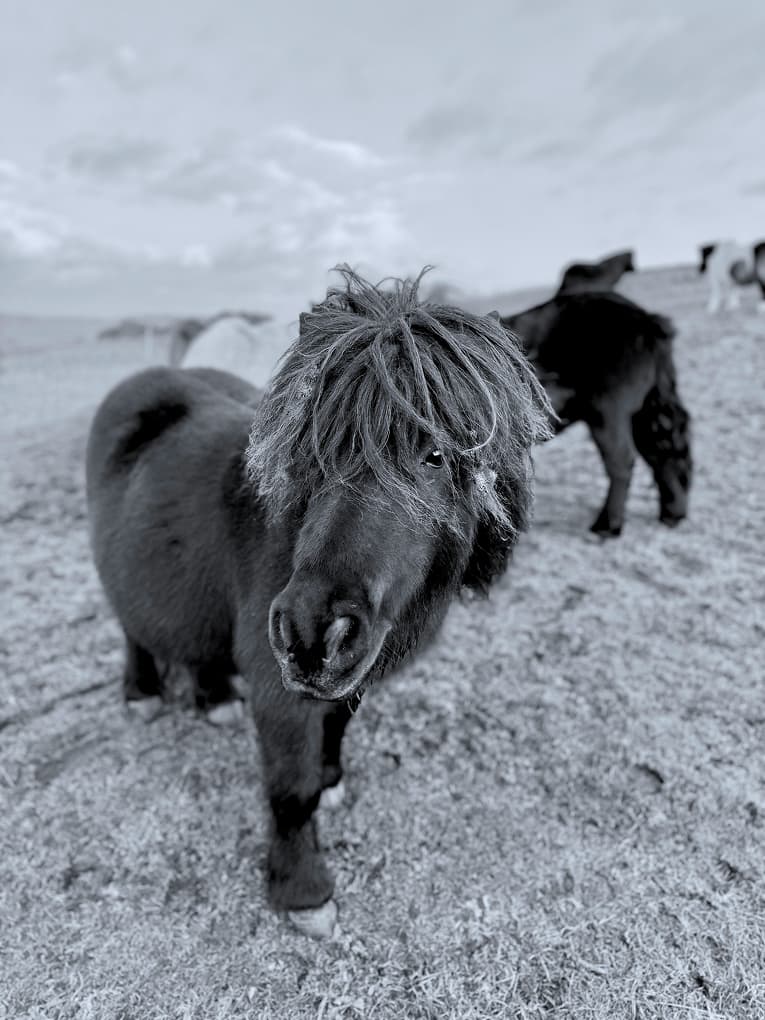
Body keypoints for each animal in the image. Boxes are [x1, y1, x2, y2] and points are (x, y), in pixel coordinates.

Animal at [85, 267, 552, 937]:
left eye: (436, 454)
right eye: (312, 449)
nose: (309, 631)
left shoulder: (349, 671)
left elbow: (336, 727)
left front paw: (333, 780)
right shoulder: (280, 689)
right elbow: (292, 788)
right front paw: (303, 890)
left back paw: (214, 698)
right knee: (132, 626)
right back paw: (143, 692)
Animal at [501, 291, 692, 537]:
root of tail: (647, 320)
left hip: (608, 411)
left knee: (622, 461)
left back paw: (607, 526)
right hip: (646, 409)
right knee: (663, 451)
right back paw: (672, 514)